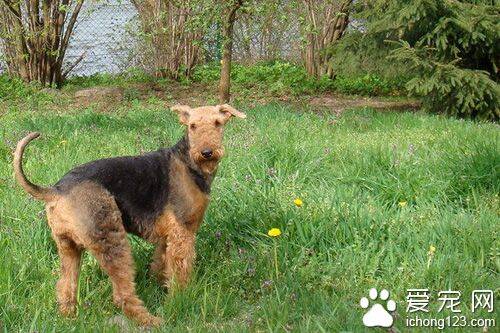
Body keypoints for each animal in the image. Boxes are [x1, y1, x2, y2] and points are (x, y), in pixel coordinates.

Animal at [12, 103, 245, 324]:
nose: (206, 153)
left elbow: (160, 265)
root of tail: (57, 190)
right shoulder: (183, 232)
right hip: (112, 240)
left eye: (217, 123)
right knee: (122, 294)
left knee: (65, 286)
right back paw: (150, 320)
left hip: (67, 247)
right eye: (192, 126)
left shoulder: (167, 236)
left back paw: (69, 317)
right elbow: (181, 271)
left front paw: (161, 287)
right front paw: (181, 299)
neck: (188, 161)